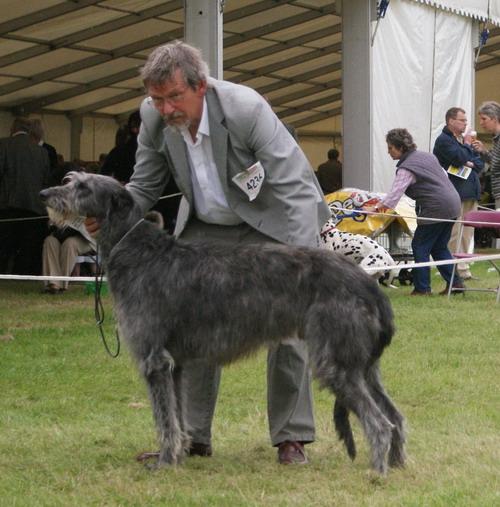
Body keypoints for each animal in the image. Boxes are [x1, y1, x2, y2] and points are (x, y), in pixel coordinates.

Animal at [39, 174, 406, 476]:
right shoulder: (175, 365)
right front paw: (179, 455)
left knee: (379, 422)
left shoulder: (154, 359)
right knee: (395, 416)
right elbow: (177, 415)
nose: (45, 193)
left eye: (83, 187)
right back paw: (397, 464)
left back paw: (377, 473)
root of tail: (367, 283)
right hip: (363, 362)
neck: (136, 249)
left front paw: (164, 463)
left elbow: (164, 418)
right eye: (71, 180)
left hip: (335, 360)